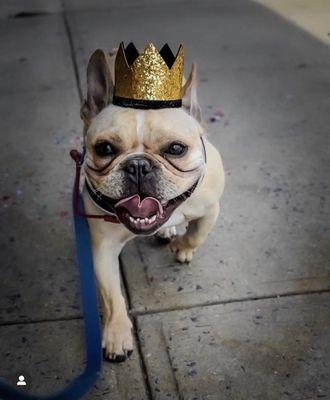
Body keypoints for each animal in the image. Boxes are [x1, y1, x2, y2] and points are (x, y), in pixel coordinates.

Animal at [79, 47, 224, 362]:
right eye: (104, 148)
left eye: (176, 149)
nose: (138, 166)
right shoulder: (103, 249)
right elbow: (112, 294)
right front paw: (117, 333)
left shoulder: (211, 208)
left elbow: (198, 233)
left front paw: (183, 246)